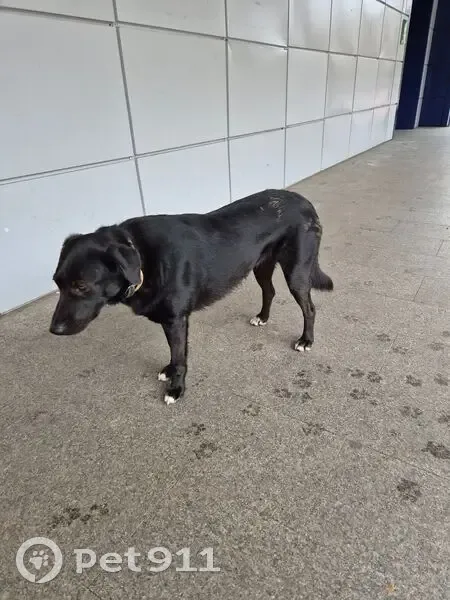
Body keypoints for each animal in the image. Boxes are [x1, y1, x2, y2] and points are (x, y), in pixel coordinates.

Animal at [50, 189, 333, 404]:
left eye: (81, 286)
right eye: (57, 284)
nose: (54, 330)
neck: (141, 258)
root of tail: (304, 201)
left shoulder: (176, 320)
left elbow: (180, 357)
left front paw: (176, 389)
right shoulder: (171, 320)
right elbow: (176, 354)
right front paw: (169, 371)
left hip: (296, 272)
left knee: (309, 308)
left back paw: (306, 340)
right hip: (260, 265)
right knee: (270, 291)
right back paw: (262, 317)